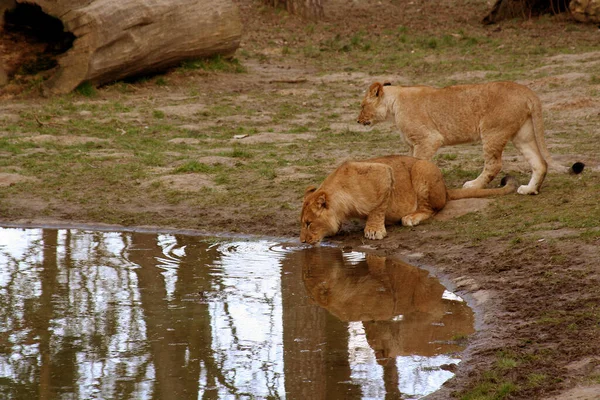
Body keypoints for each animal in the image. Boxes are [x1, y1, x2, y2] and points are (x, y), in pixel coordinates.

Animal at [302, 155, 516, 244]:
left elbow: (378, 207)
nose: (302, 241)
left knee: (432, 209)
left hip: (422, 168)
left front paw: (374, 230)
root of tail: (445, 189)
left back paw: (411, 217)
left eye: (308, 223)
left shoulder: (384, 173)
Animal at [354, 80, 584, 195]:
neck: (394, 103)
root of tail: (528, 92)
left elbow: (418, 163)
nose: (357, 120)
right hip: (523, 134)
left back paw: (474, 185)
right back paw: (529, 190)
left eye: (362, 105)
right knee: (540, 162)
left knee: (494, 164)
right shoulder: (413, 144)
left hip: (492, 131)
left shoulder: (428, 139)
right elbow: (409, 163)